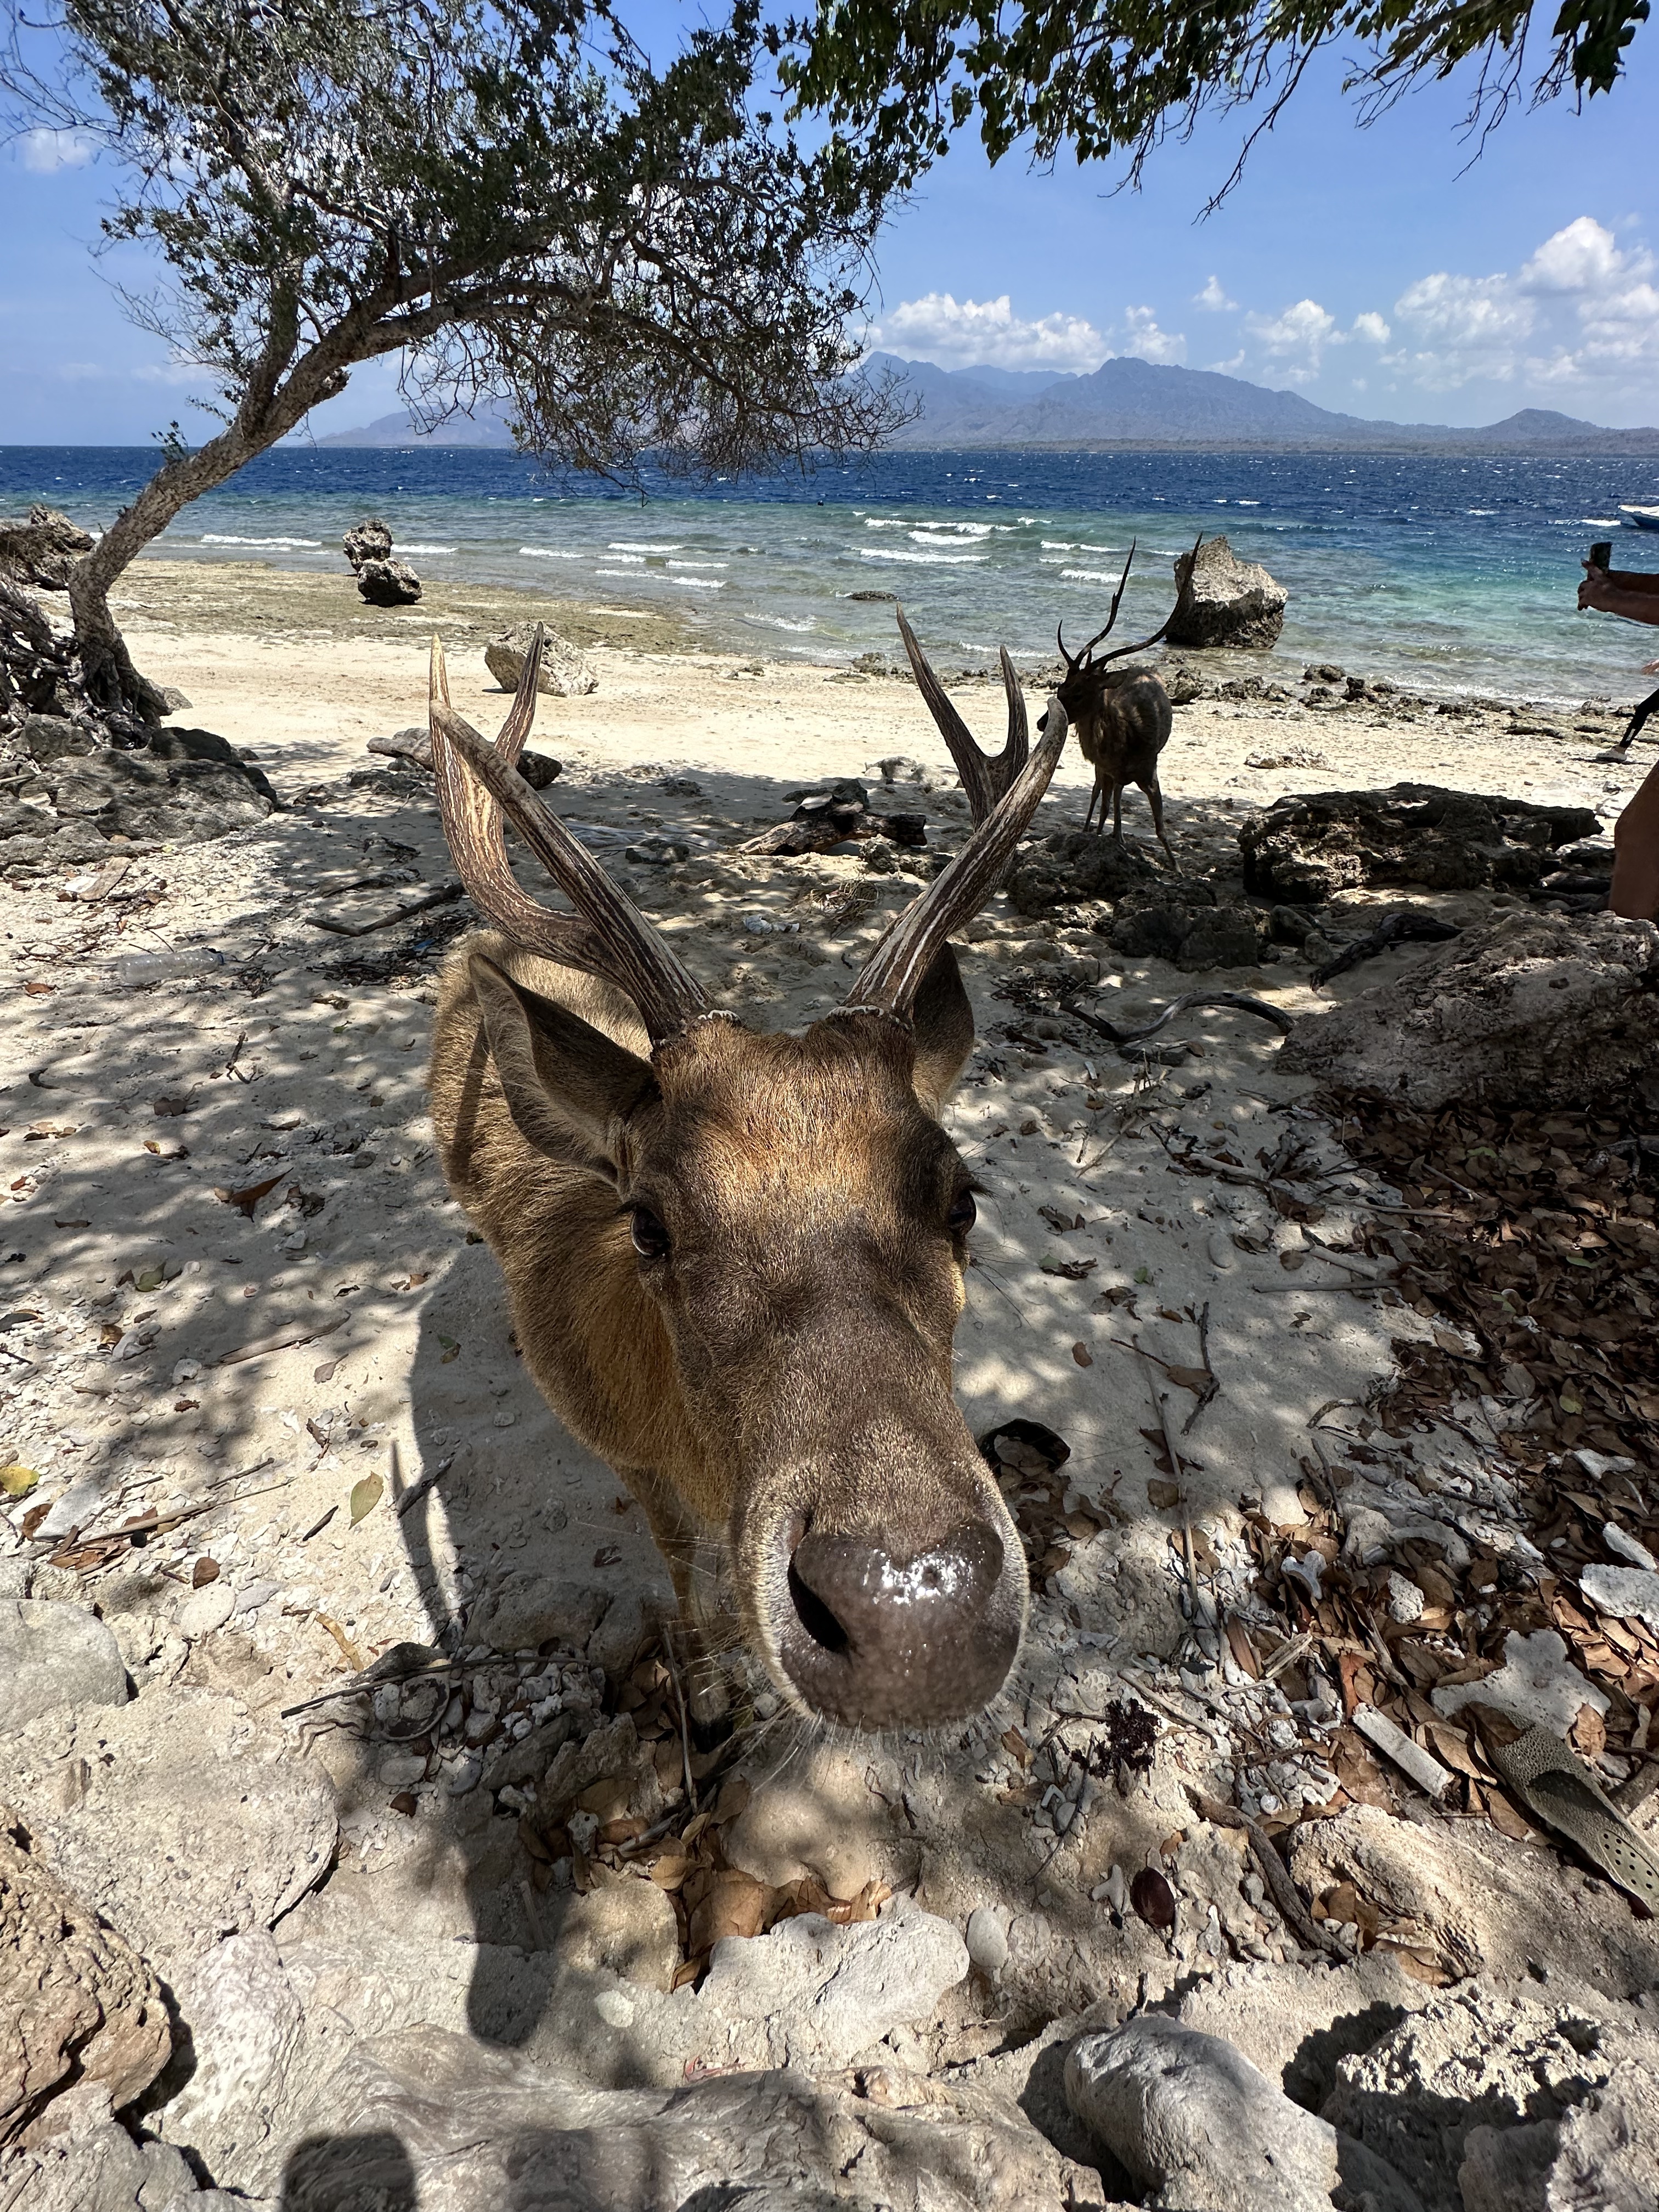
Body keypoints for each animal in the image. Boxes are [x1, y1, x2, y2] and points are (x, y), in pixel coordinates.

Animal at [425, 626, 1067, 1737]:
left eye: (961, 1196)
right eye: (648, 1224)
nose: (913, 1617)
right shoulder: (623, 1454)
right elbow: (682, 1562)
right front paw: (709, 1682)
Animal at [1054, 535, 1201, 870]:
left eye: (1079, 693)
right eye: (1061, 687)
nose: (1043, 721)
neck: (1127, 744)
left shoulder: (1149, 771)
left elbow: (1159, 827)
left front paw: (1177, 868)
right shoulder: (1112, 772)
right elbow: (1113, 816)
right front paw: (1106, 840)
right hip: (1103, 772)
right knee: (1098, 796)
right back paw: (1089, 830)